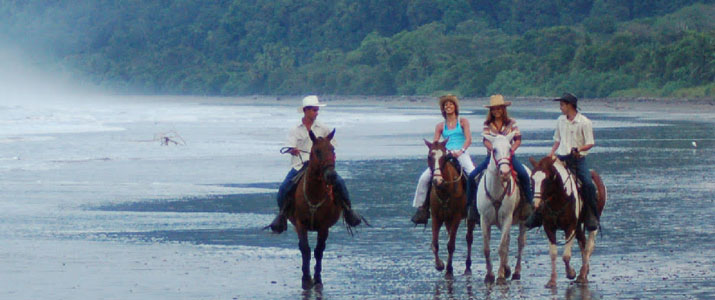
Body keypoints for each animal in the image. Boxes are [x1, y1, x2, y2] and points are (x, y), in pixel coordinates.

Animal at [290, 129, 344, 290]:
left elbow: (319, 250)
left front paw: (318, 279)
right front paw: (306, 279)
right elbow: (305, 249)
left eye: (332, 149)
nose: (331, 175)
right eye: (317, 151)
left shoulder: (324, 226)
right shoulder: (300, 224)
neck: (314, 194)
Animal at [426, 139, 476, 278]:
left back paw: (468, 267)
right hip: (447, 220)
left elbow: (451, 244)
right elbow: (435, 244)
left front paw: (448, 269)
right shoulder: (436, 217)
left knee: (469, 238)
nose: (437, 180)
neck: (444, 190)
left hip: (469, 217)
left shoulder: (456, 217)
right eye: (429, 157)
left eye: (444, 157)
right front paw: (439, 265)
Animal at [478, 132, 528, 284]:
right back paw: (507, 269)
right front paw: (489, 275)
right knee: (508, 240)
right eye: (494, 150)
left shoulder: (507, 218)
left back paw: (516, 272)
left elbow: (502, 248)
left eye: (510, 149)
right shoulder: (484, 220)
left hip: (522, 220)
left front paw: (500, 275)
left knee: (520, 243)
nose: (505, 173)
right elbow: (487, 248)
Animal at [528, 156, 608, 288]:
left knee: (589, 246)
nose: (536, 204)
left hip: (593, 223)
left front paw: (571, 273)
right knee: (582, 243)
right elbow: (553, 254)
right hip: (579, 226)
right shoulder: (549, 227)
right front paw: (552, 280)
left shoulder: (570, 227)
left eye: (547, 179)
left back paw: (582, 275)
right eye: (532, 179)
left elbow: (566, 256)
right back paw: (584, 272)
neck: (559, 198)